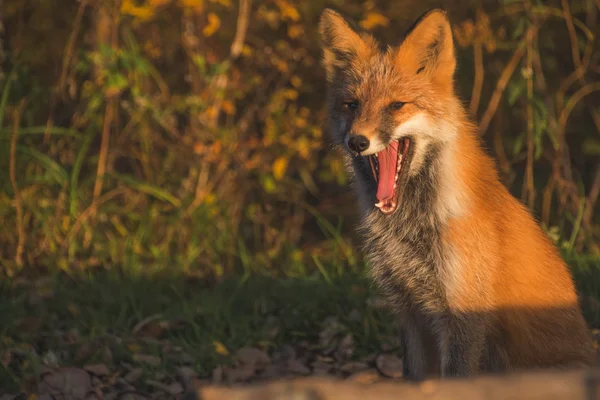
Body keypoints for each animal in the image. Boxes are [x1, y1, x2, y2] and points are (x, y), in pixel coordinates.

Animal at [318, 8, 596, 378]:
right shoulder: (410, 311)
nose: (357, 141)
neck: (410, 231)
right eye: (352, 105)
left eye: (397, 105)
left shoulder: (464, 313)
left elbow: (455, 377)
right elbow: (415, 378)